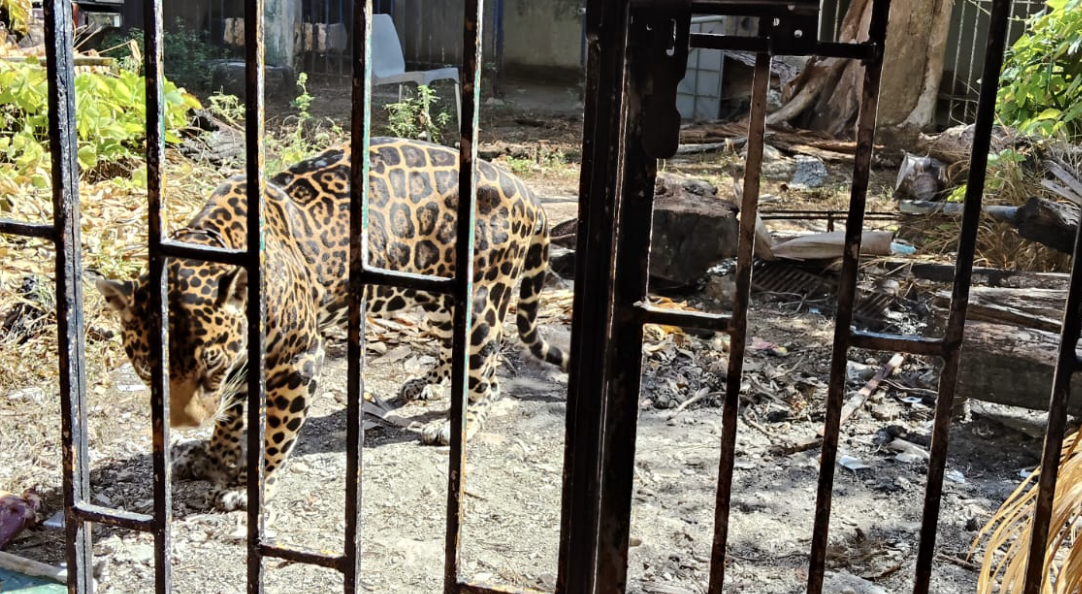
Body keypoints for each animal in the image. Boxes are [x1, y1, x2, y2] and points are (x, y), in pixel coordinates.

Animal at [94, 137, 570, 510]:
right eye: (147, 368)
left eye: (211, 364)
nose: (184, 424)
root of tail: (524, 189)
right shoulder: (246, 362)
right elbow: (231, 414)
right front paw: (213, 455)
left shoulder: (296, 358)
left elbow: (274, 430)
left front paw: (251, 487)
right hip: (438, 298)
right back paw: (427, 384)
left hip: (480, 301)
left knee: (488, 375)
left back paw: (458, 423)